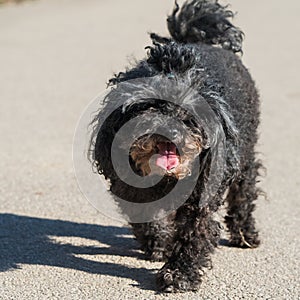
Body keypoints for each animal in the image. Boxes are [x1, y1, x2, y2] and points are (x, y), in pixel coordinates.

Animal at [89, 0, 262, 292]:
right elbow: (147, 219)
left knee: (244, 190)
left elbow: (194, 234)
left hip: (245, 154)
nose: (170, 132)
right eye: (149, 106)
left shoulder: (201, 196)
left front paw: (179, 274)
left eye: (189, 112)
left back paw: (245, 234)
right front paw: (159, 245)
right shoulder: (131, 190)